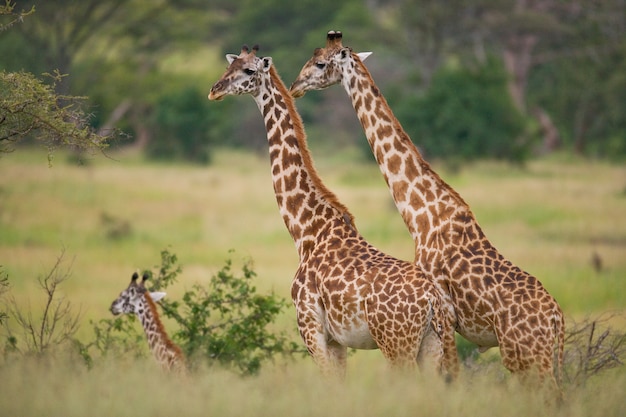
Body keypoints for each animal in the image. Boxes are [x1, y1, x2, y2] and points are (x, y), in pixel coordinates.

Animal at [207, 44, 456, 376]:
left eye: (248, 70)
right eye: (229, 67)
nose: (215, 90)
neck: (306, 231)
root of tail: (431, 300)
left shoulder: (311, 328)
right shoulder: (338, 341)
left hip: (397, 345)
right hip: (432, 345)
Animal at [290, 30, 564, 390]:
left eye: (321, 62)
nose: (295, 85)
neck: (422, 214)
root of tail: (558, 322)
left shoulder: (444, 311)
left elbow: (450, 376)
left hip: (526, 355)